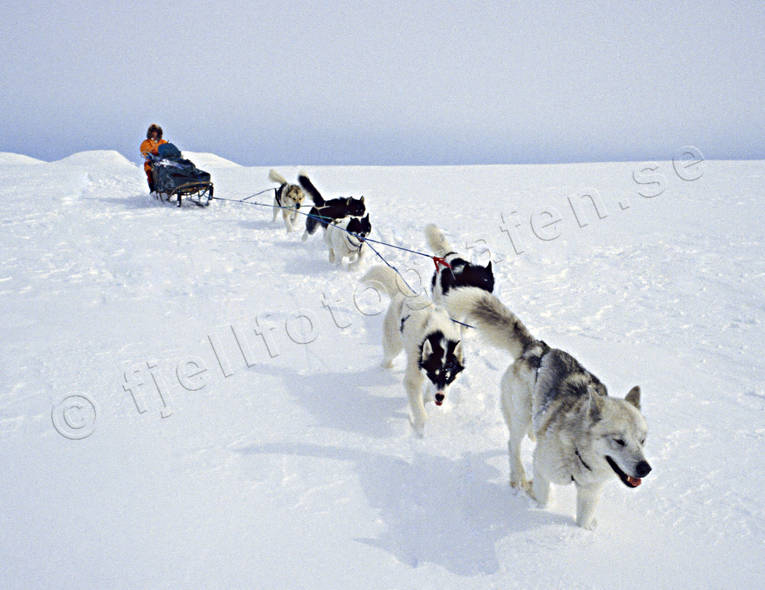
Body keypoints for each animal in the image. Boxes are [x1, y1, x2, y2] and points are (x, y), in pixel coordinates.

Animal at [364, 266, 466, 438]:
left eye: (448, 376)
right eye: (434, 374)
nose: (440, 396)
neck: (440, 339)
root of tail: (405, 294)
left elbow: (428, 395)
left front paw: (428, 402)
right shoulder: (414, 378)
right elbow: (419, 408)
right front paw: (421, 428)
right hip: (393, 344)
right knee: (387, 357)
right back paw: (386, 369)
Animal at [442, 290, 652, 528]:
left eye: (642, 440)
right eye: (619, 441)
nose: (645, 469)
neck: (578, 453)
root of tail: (538, 349)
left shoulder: (590, 492)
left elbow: (583, 522)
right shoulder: (542, 468)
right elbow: (543, 498)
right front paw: (533, 497)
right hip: (520, 416)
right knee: (513, 445)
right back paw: (518, 477)